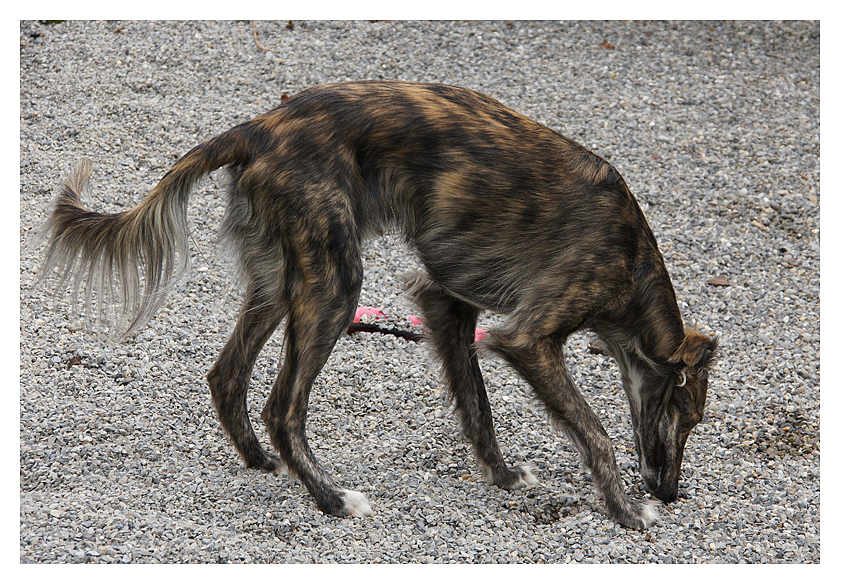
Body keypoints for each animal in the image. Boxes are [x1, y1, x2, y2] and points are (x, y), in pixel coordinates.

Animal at [37, 81, 716, 528]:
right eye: (688, 416)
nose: (671, 492)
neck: (632, 257)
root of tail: (258, 127)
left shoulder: (447, 304)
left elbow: (477, 406)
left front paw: (501, 477)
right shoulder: (530, 337)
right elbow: (596, 432)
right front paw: (628, 511)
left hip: (281, 280)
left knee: (227, 374)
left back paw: (262, 463)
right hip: (335, 285)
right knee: (282, 406)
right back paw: (332, 499)